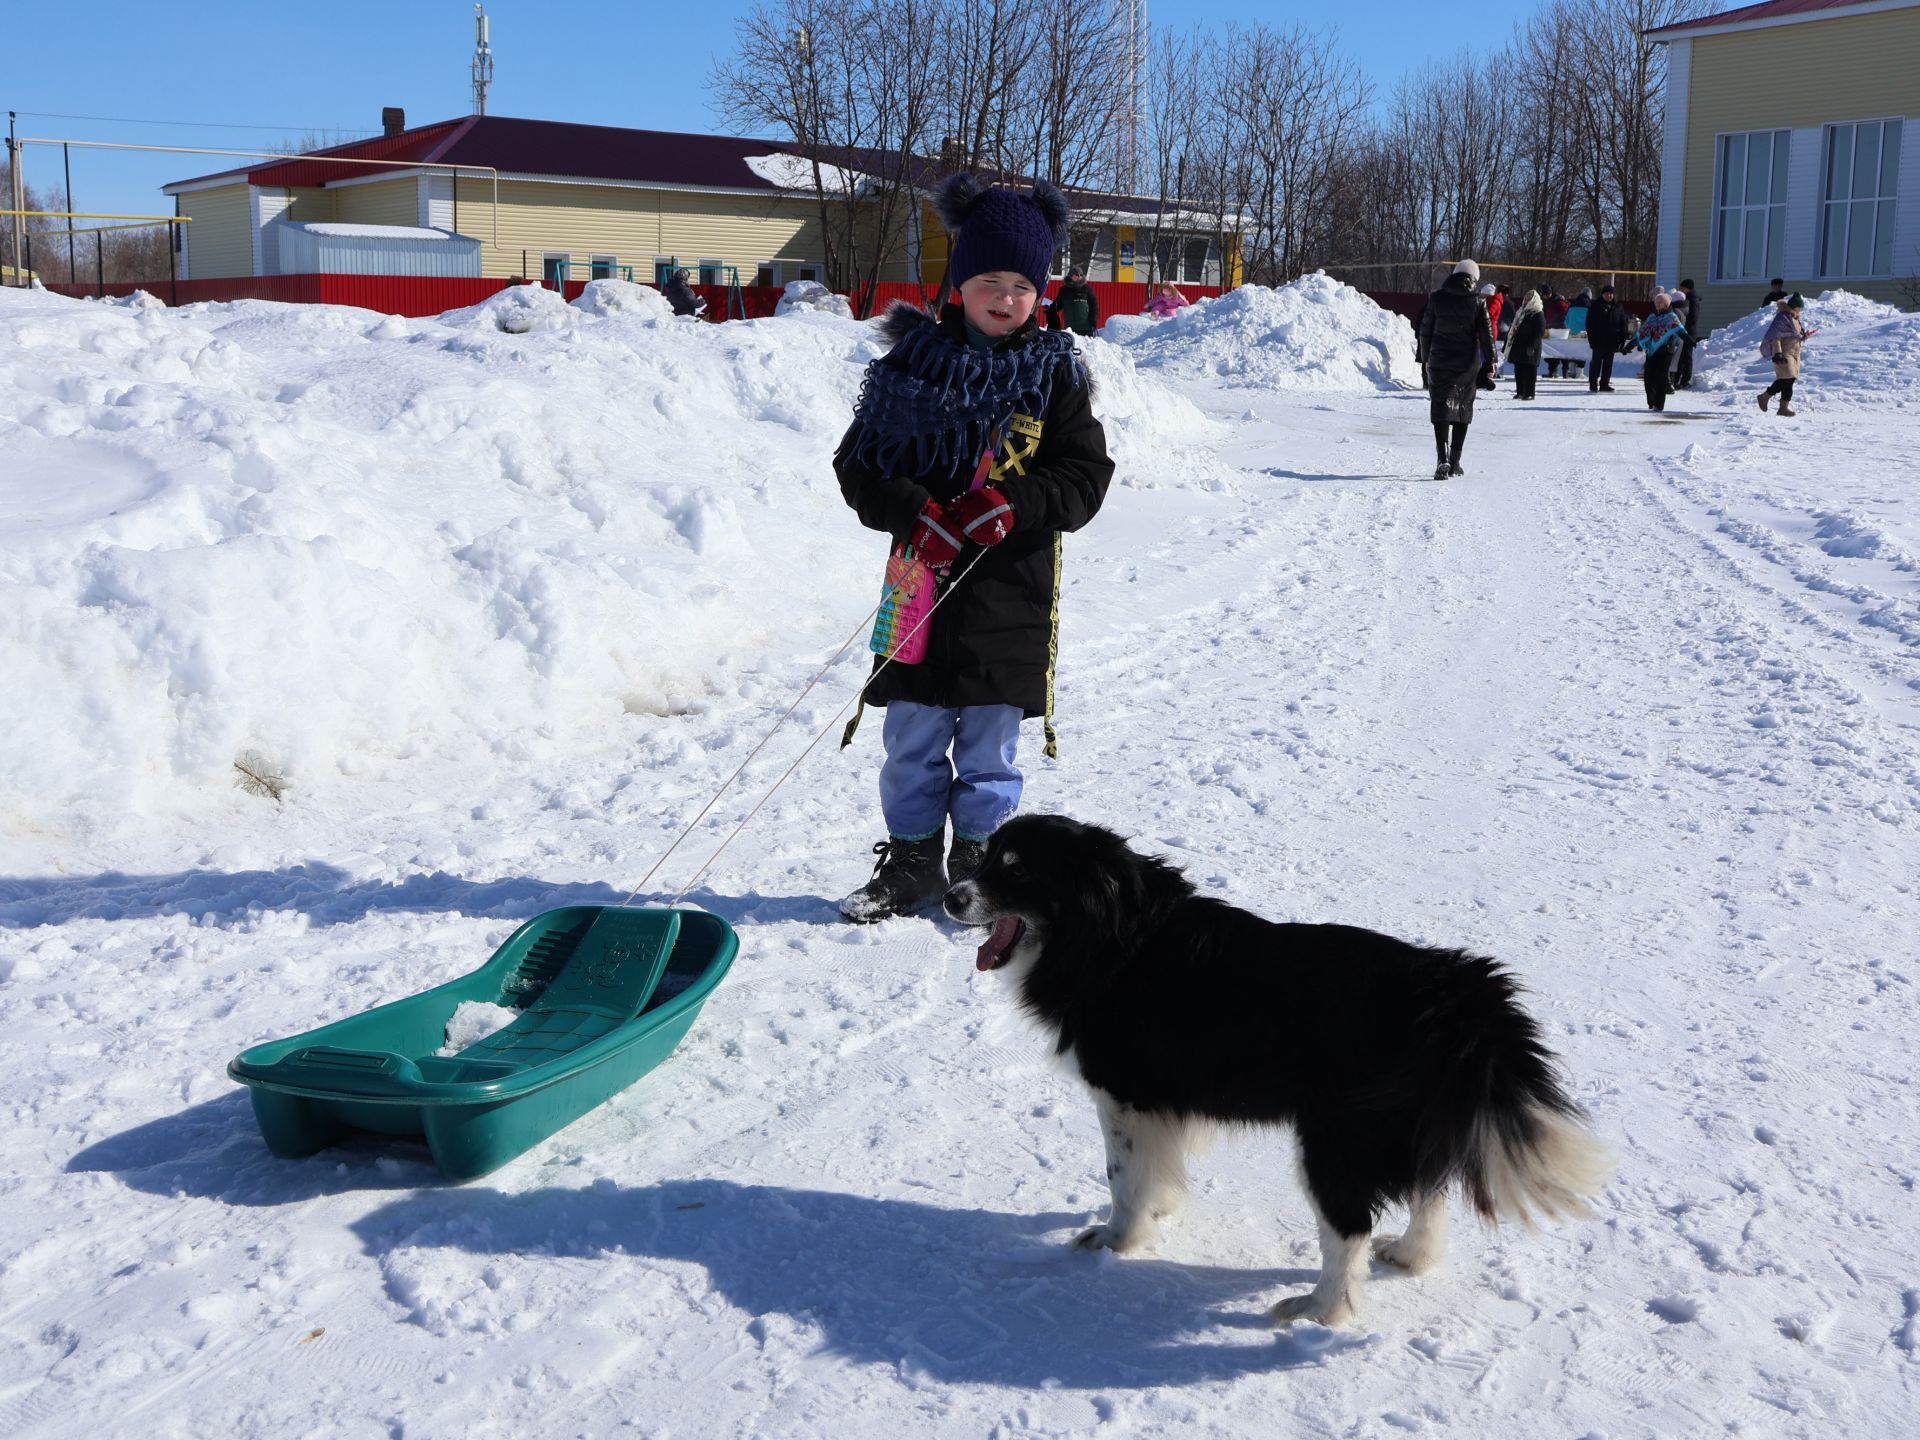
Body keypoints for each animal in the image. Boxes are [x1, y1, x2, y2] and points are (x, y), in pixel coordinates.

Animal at [944, 814, 1605, 1328]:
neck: (1111, 936)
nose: (951, 898)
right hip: (1406, 1122)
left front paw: (1116, 1241)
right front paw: (1158, 1214)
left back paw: (1318, 1312)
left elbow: (1123, 1177)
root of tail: (1453, 994)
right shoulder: (1158, 1102)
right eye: (986, 857)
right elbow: (1156, 1171)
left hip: (1334, 1138)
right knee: (1428, 1192)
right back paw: (1410, 1258)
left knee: (1349, 1228)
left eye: (1017, 870)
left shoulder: (1123, 1093)